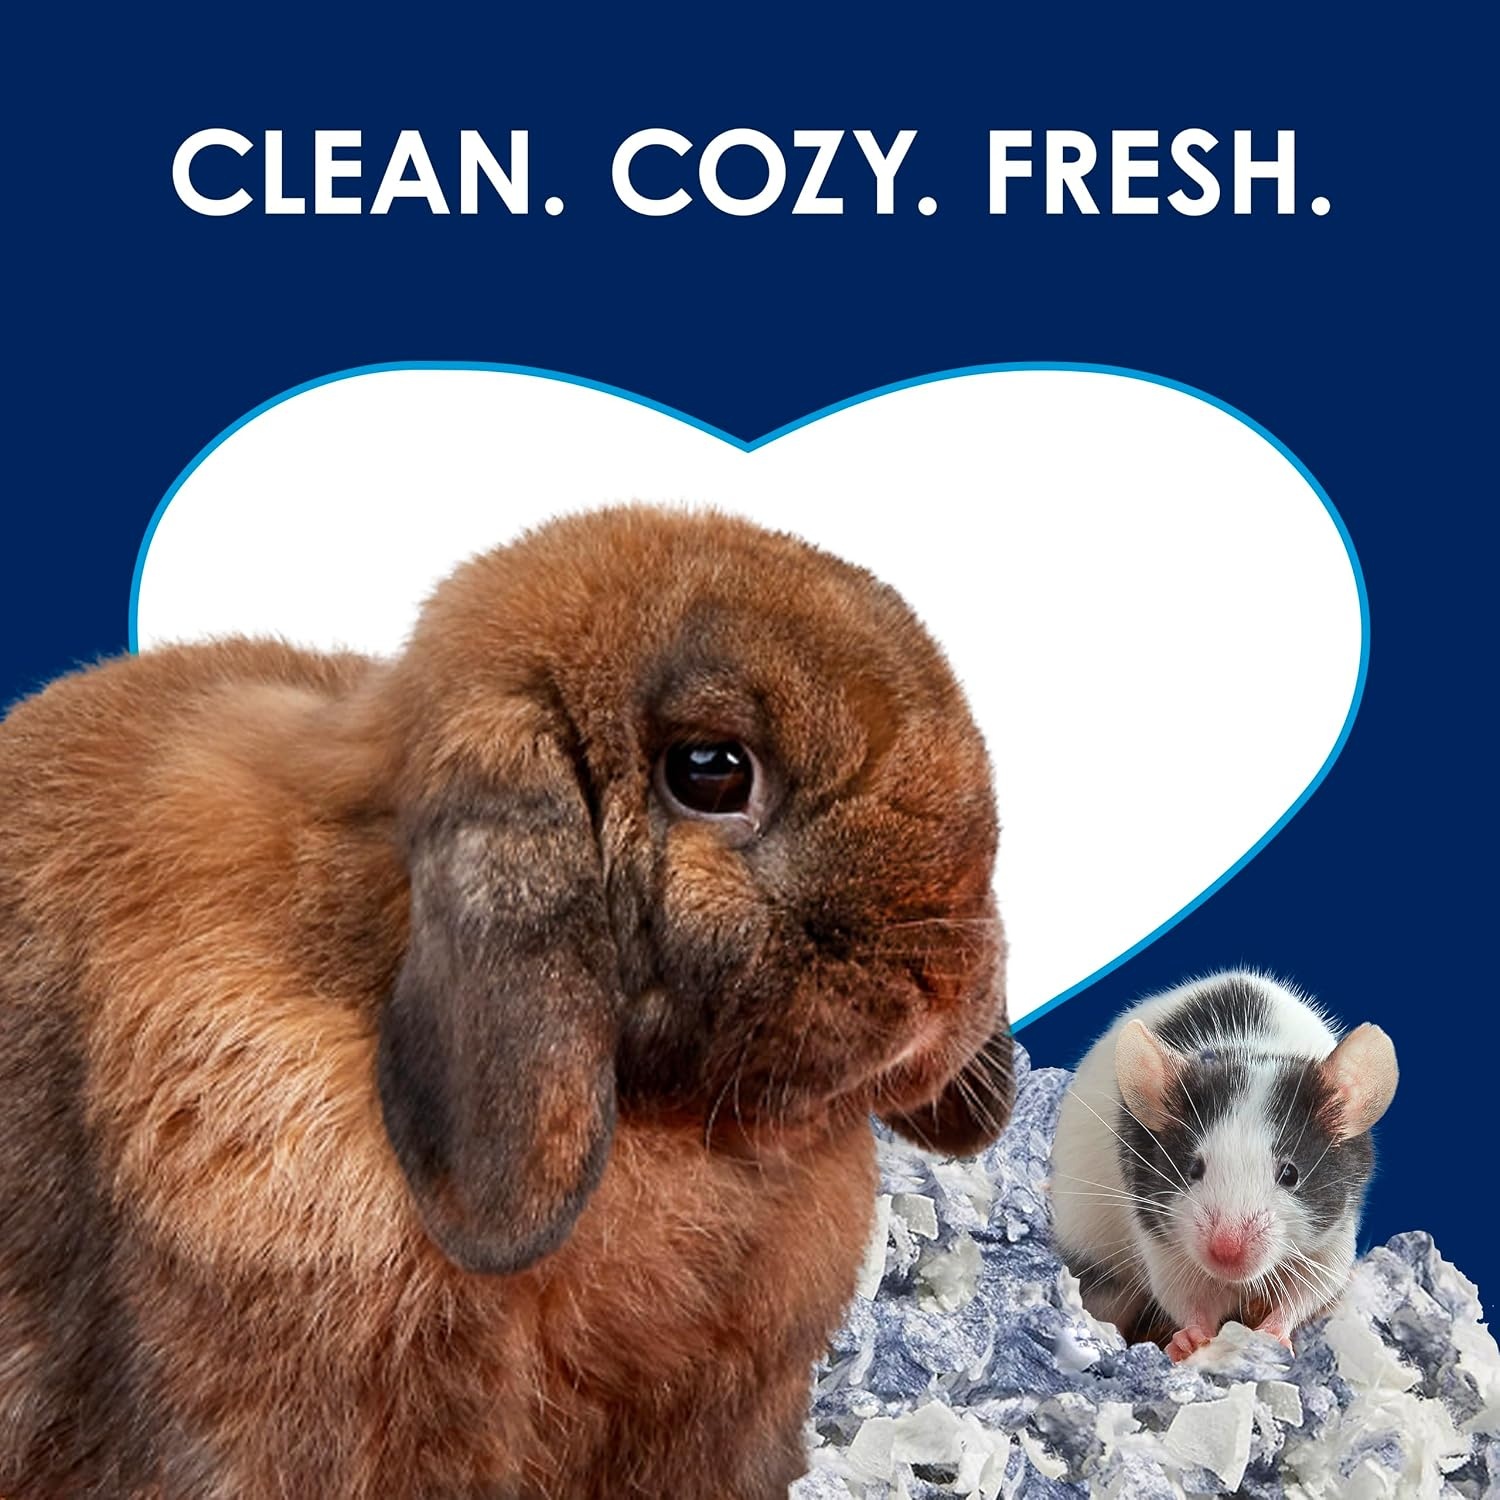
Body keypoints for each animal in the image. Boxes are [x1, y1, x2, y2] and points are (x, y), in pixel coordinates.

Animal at [1048, 971, 1397, 1361]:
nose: (1226, 1253)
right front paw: (1189, 1338)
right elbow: (1182, 1293)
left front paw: (1276, 1333)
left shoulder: (1332, 1237)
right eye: (1193, 1169)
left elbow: (1314, 1287)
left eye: (1290, 1173)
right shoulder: (1160, 1238)